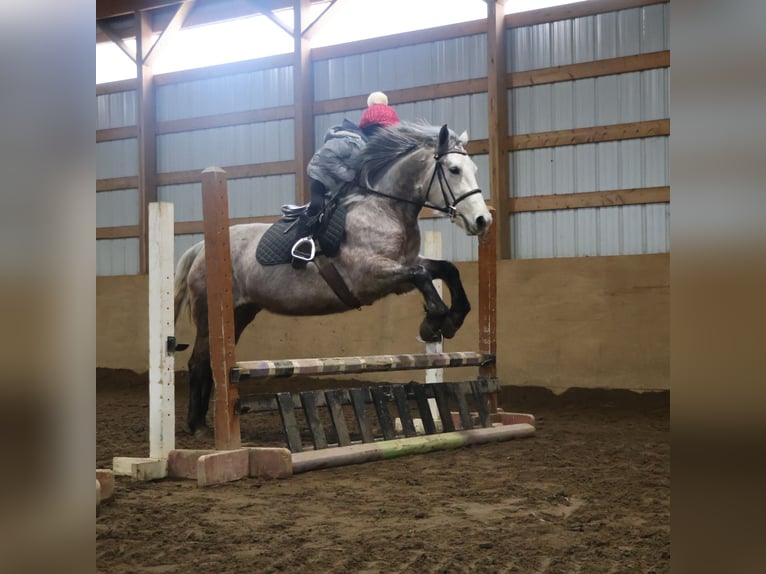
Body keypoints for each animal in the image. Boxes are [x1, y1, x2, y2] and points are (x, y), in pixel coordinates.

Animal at [174, 122, 493, 436]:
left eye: (475, 169)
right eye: (454, 169)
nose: (483, 221)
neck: (386, 209)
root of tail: (202, 247)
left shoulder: (401, 272)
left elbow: (445, 270)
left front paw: (452, 320)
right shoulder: (369, 276)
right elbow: (423, 276)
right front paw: (432, 323)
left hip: (240, 313)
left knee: (212, 362)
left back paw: (202, 422)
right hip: (210, 315)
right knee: (199, 361)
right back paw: (198, 426)